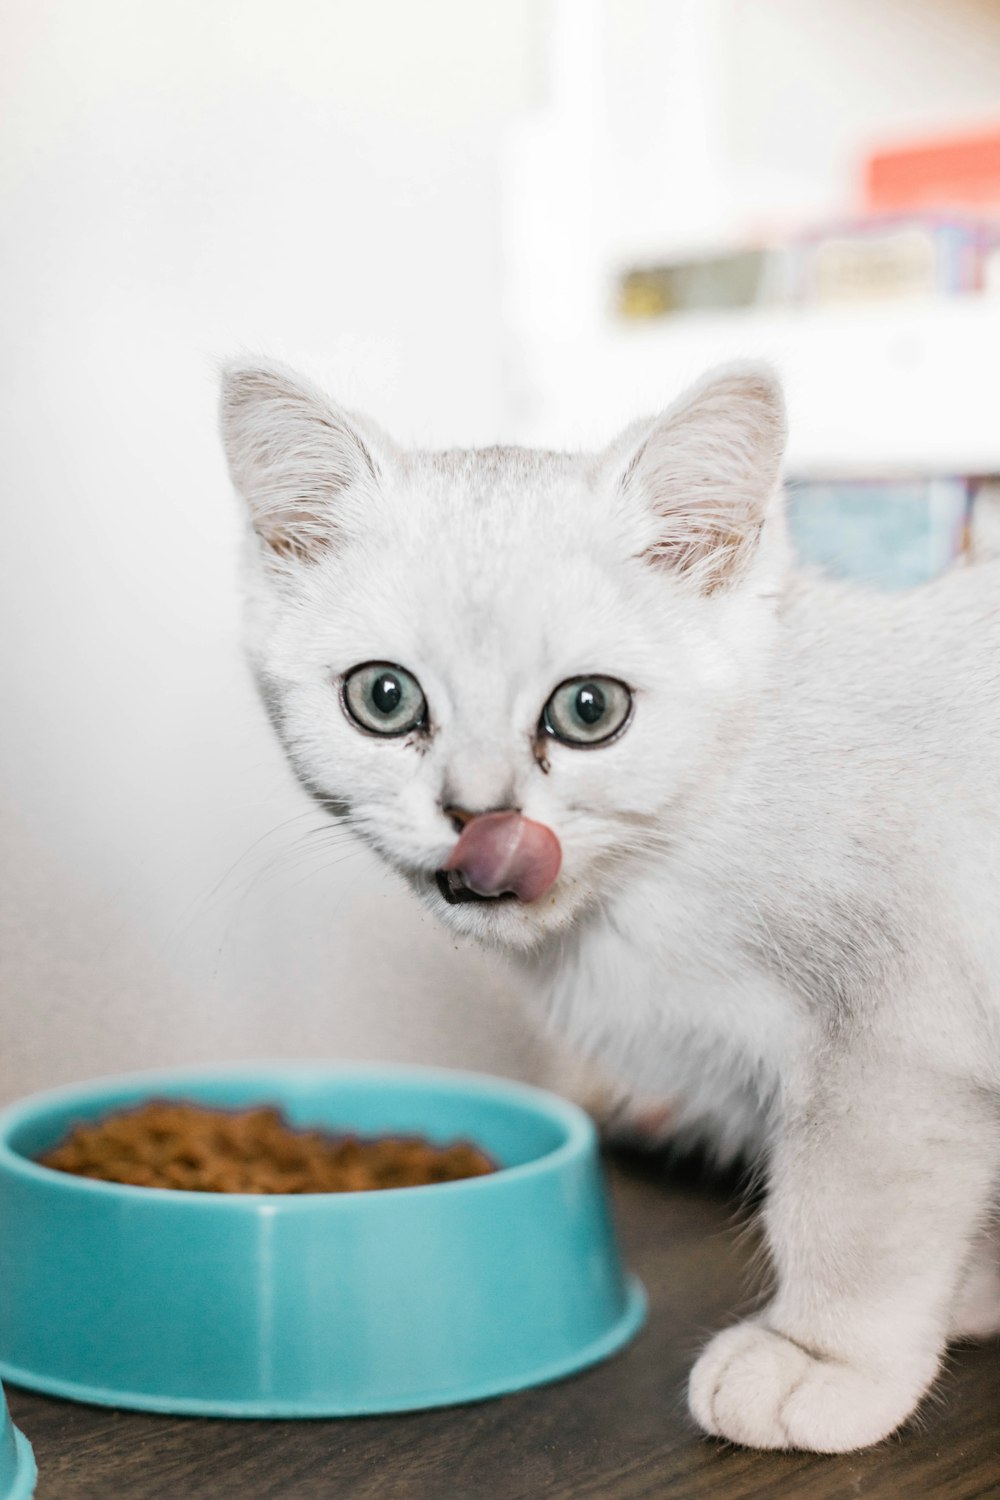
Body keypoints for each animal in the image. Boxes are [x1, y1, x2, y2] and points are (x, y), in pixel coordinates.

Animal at [218, 357, 1000, 1446]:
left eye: (589, 710)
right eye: (383, 698)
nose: (480, 815)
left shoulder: (896, 1029)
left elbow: (847, 1205)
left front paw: (825, 1358)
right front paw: (969, 1290)